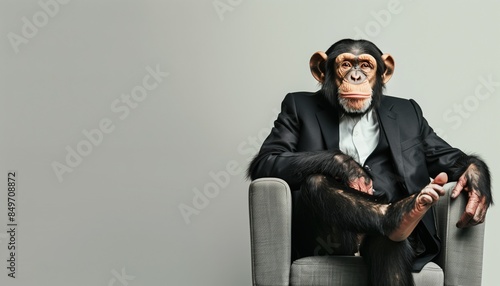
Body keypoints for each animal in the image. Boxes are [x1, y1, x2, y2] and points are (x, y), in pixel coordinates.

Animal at [248, 38, 490, 286]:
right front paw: (352, 170)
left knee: (386, 244)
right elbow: (270, 156)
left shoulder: (421, 123)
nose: (356, 77)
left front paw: (476, 185)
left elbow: (444, 155)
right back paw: (396, 216)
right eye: (345, 64)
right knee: (316, 180)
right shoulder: (289, 109)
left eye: (365, 65)